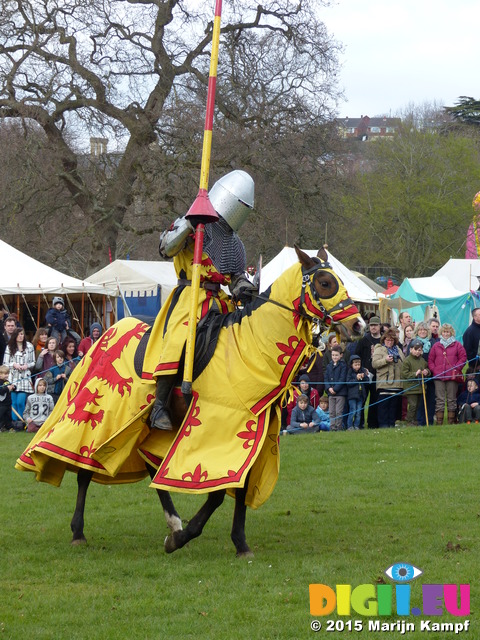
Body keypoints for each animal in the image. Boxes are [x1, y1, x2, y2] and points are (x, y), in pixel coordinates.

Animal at [16, 248, 366, 556]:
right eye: (324, 282)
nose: (359, 326)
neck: (250, 348)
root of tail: (113, 328)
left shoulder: (253, 432)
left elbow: (239, 489)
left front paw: (238, 542)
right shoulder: (215, 432)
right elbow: (216, 494)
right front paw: (183, 539)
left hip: (144, 426)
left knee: (144, 461)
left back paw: (172, 521)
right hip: (99, 414)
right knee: (83, 465)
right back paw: (79, 531)